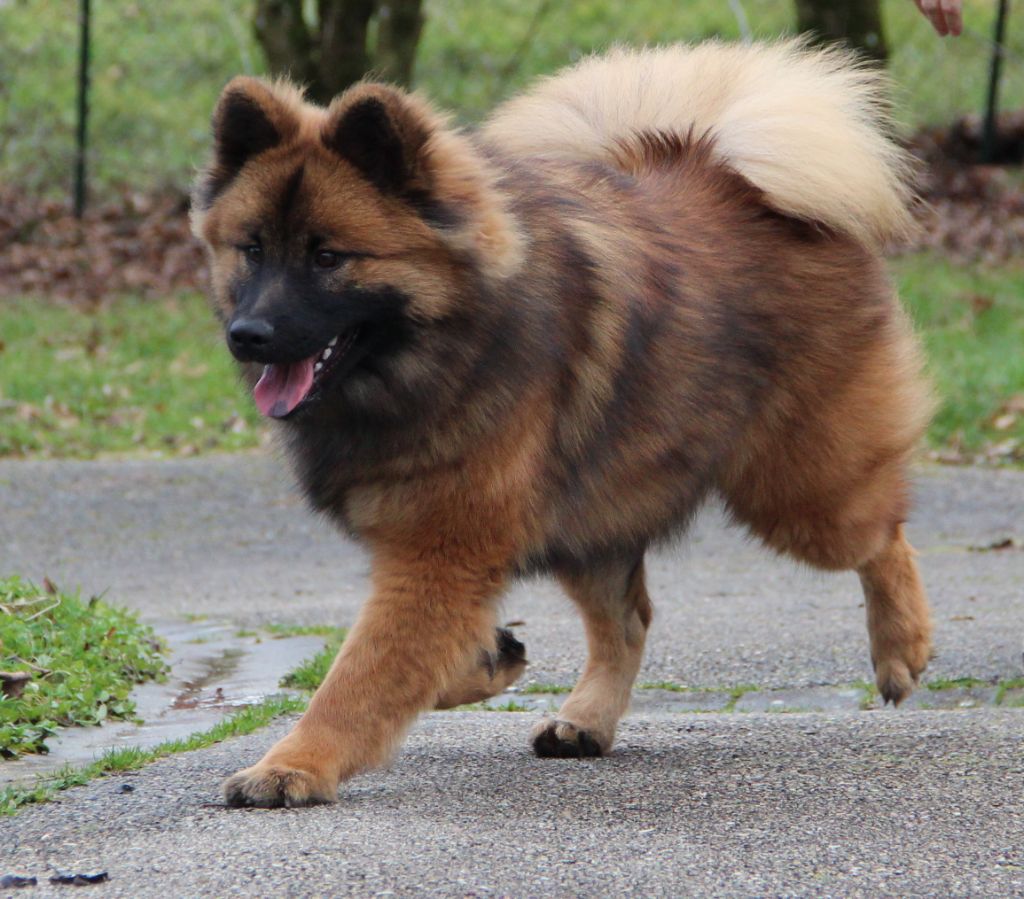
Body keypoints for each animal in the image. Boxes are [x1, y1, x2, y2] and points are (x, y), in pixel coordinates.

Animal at [191, 40, 933, 807]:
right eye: (252, 249)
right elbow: (409, 658)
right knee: (628, 622)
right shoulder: (444, 551)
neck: (452, 343)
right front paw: (489, 661)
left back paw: (900, 647)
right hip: (594, 510)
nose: (247, 335)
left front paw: (294, 765)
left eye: (328, 256)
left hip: (796, 492)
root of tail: (734, 170)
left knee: (882, 534)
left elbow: (359, 677)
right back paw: (587, 720)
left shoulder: (438, 550)